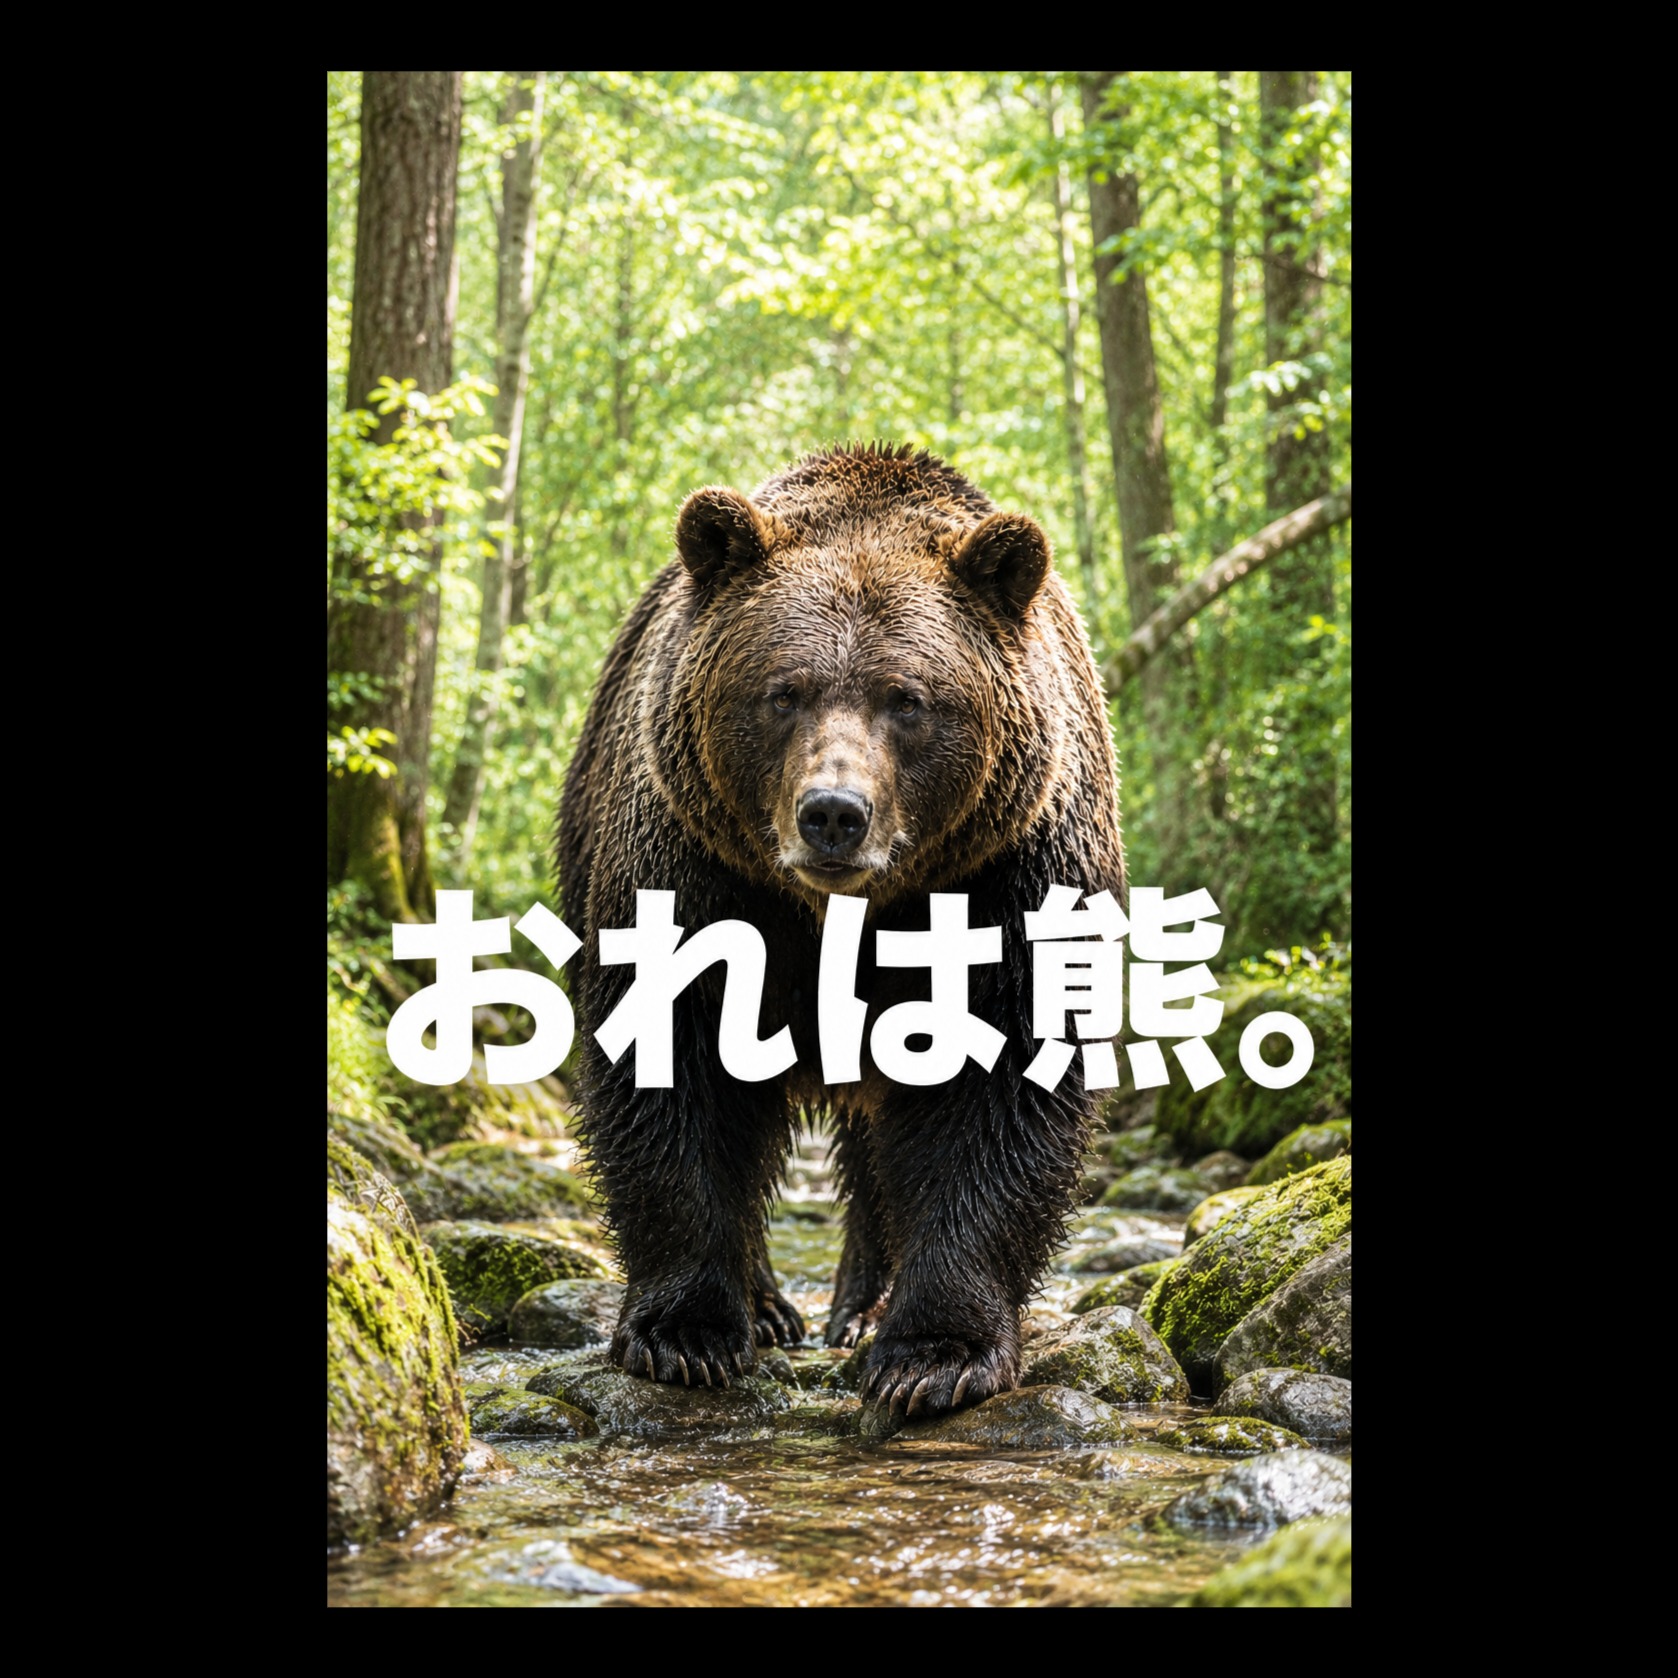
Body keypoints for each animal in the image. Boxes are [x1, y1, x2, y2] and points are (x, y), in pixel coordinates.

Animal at [557, 443, 1126, 1418]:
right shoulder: (698, 869)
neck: (848, 911)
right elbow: (672, 1068)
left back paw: (860, 1308)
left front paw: (933, 1353)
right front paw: (686, 1333)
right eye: (783, 691)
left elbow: (1001, 1089)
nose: (833, 814)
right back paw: (772, 1306)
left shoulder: (1007, 875)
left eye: (909, 699)